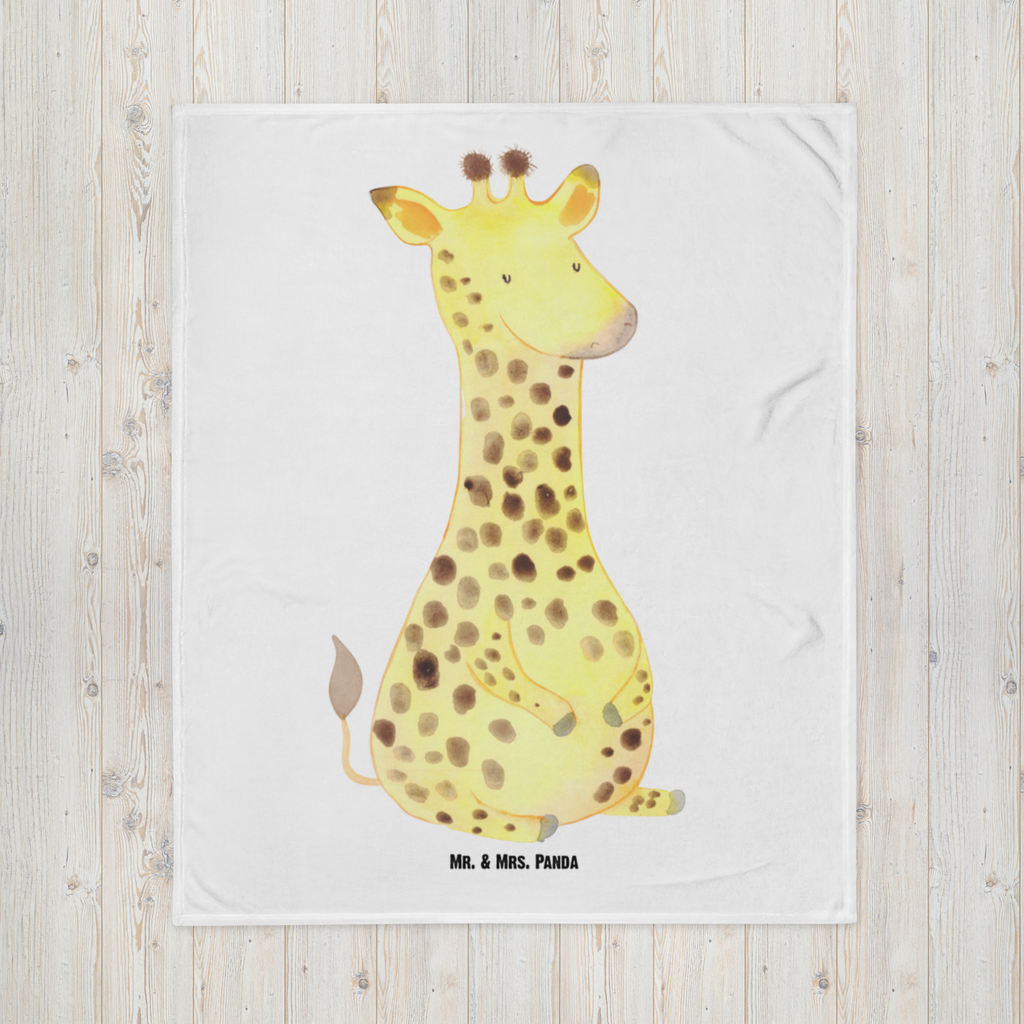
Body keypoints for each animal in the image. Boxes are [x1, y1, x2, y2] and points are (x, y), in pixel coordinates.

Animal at [329, 148, 685, 843]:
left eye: (576, 258)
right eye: (505, 276)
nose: (621, 320)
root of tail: (377, 772)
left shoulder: (629, 640)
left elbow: (641, 670)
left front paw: (616, 704)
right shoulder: (481, 638)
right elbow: (494, 666)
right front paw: (562, 714)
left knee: (611, 794)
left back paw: (659, 797)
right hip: (426, 780)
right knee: (459, 809)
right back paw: (534, 823)